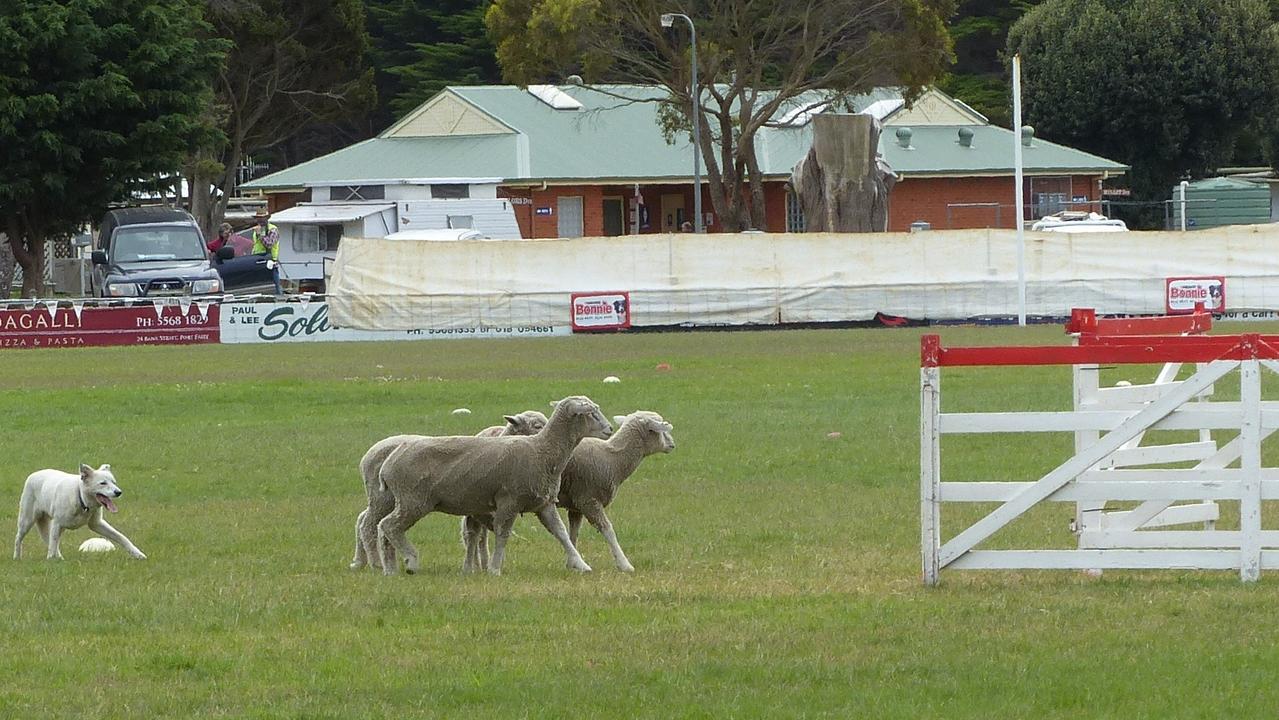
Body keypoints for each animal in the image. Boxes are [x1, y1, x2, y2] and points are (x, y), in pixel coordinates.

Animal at [15, 465, 146, 560]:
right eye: (103, 483)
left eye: (114, 482)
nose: (119, 492)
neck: (81, 498)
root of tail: (34, 474)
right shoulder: (57, 524)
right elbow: (53, 544)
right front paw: (50, 560)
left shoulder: (97, 524)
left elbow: (121, 537)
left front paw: (137, 554)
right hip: (26, 521)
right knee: (19, 538)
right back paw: (17, 557)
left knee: (51, 541)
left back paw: (59, 557)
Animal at [350, 411, 549, 575]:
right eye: (537, 426)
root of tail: (368, 454)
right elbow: (474, 535)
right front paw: (480, 566)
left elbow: (479, 534)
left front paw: (481, 565)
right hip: (383, 498)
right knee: (369, 523)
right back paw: (376, 564)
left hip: (383, 499)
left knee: (363, 518)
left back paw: (360, 561)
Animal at [376, 396, 611, 578]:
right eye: (591, 413)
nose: (610, 429)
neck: (542, 451)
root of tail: (388, 462)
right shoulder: (509, 500)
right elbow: (502, 534)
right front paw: (495, 568)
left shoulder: (544, 503)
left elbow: (561, 534)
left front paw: (581, 564)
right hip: (413, 500)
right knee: (389, 526)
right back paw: (410, 561)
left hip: (406, 500)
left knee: (384, 527)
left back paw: (390, 569)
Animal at [462, 411, 680, 575]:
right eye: (661, 429)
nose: (672, 445)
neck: (612, 458)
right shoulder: (588, 500)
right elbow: (608, 530)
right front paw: (624, 564)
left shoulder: (576, 506)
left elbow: (573, 533)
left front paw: (572, 562)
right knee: (475, 532)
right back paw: (478, 566)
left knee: (476, 532)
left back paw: (478, 565)